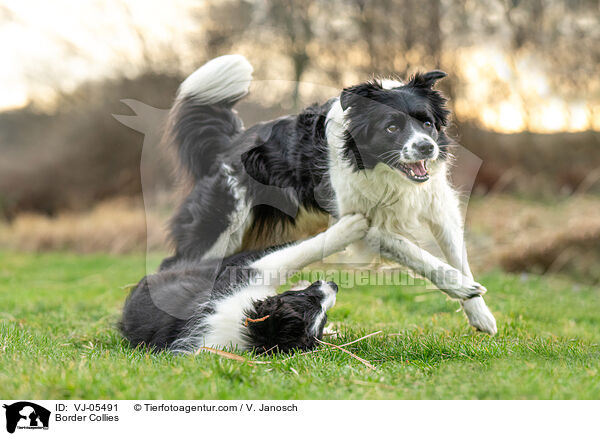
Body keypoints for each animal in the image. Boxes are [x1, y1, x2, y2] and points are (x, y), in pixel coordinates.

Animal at [159, 54, 496, 334]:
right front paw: (462, 287)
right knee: (176, 264)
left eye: (427, 122)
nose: (427, 147)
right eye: (391, 128)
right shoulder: (362, 223)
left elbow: (457, 255)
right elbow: (414, 252)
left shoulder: (438, 206)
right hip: (222, 225)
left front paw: (480, 313)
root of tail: (229, 143)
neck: (382, 169)